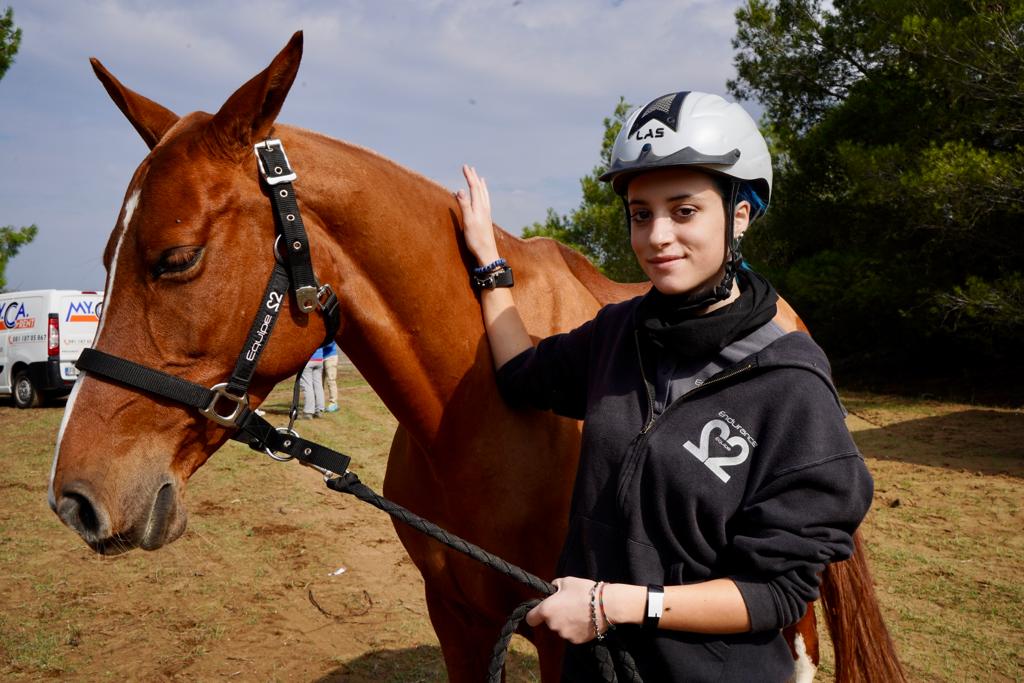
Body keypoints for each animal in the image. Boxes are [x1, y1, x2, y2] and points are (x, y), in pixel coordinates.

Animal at [49, 32, 903, 683]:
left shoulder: (564, 632)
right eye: (108, 257)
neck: (482, 411)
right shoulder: (457, 618)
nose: (74, 499)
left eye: (176, 259)